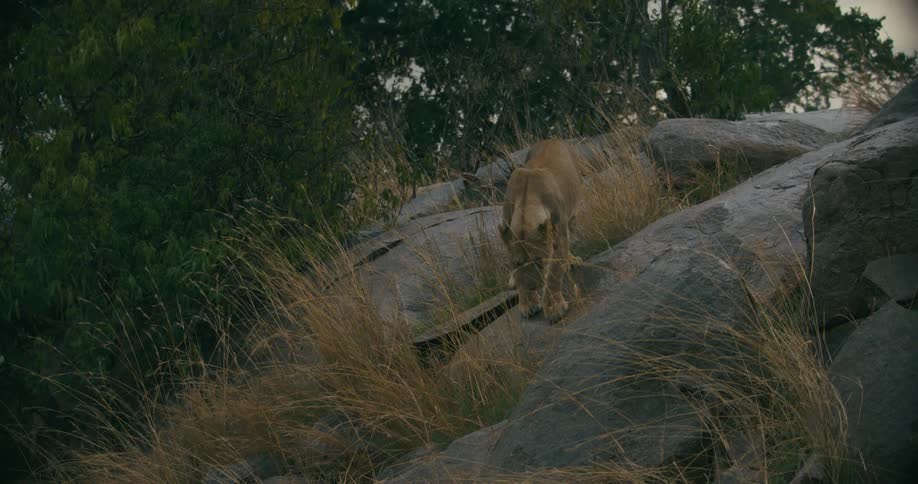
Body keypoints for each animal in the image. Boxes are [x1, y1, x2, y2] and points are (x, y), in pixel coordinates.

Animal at [499, 138, 583, 322]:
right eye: (517, 262)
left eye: (540, 261)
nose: (533, 287)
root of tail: (553, 138)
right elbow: (519, 276)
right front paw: (527, 303)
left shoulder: (559, 234)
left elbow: (553, 274)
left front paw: (553, 307)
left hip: (573, 213)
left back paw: (571, 260)